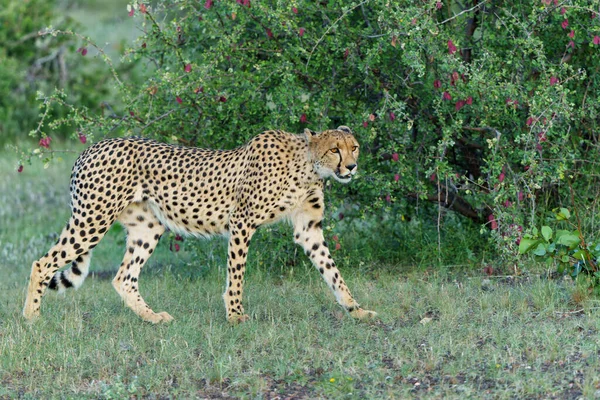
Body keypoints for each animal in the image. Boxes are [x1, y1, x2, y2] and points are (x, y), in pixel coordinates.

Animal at [24, 126, 380, 324]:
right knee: (42, 263)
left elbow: (333, 272)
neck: (308, 167)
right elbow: (236, 274)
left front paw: (356, 310)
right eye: (334, 149)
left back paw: (153, 318)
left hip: (147, 227)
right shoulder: (242, 221)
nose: (352, 167)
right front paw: (235, 316)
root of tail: (91, 147)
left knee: (124, 277)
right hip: (93, 219)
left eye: (354, 147)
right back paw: (32, 318)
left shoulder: (308, 229)